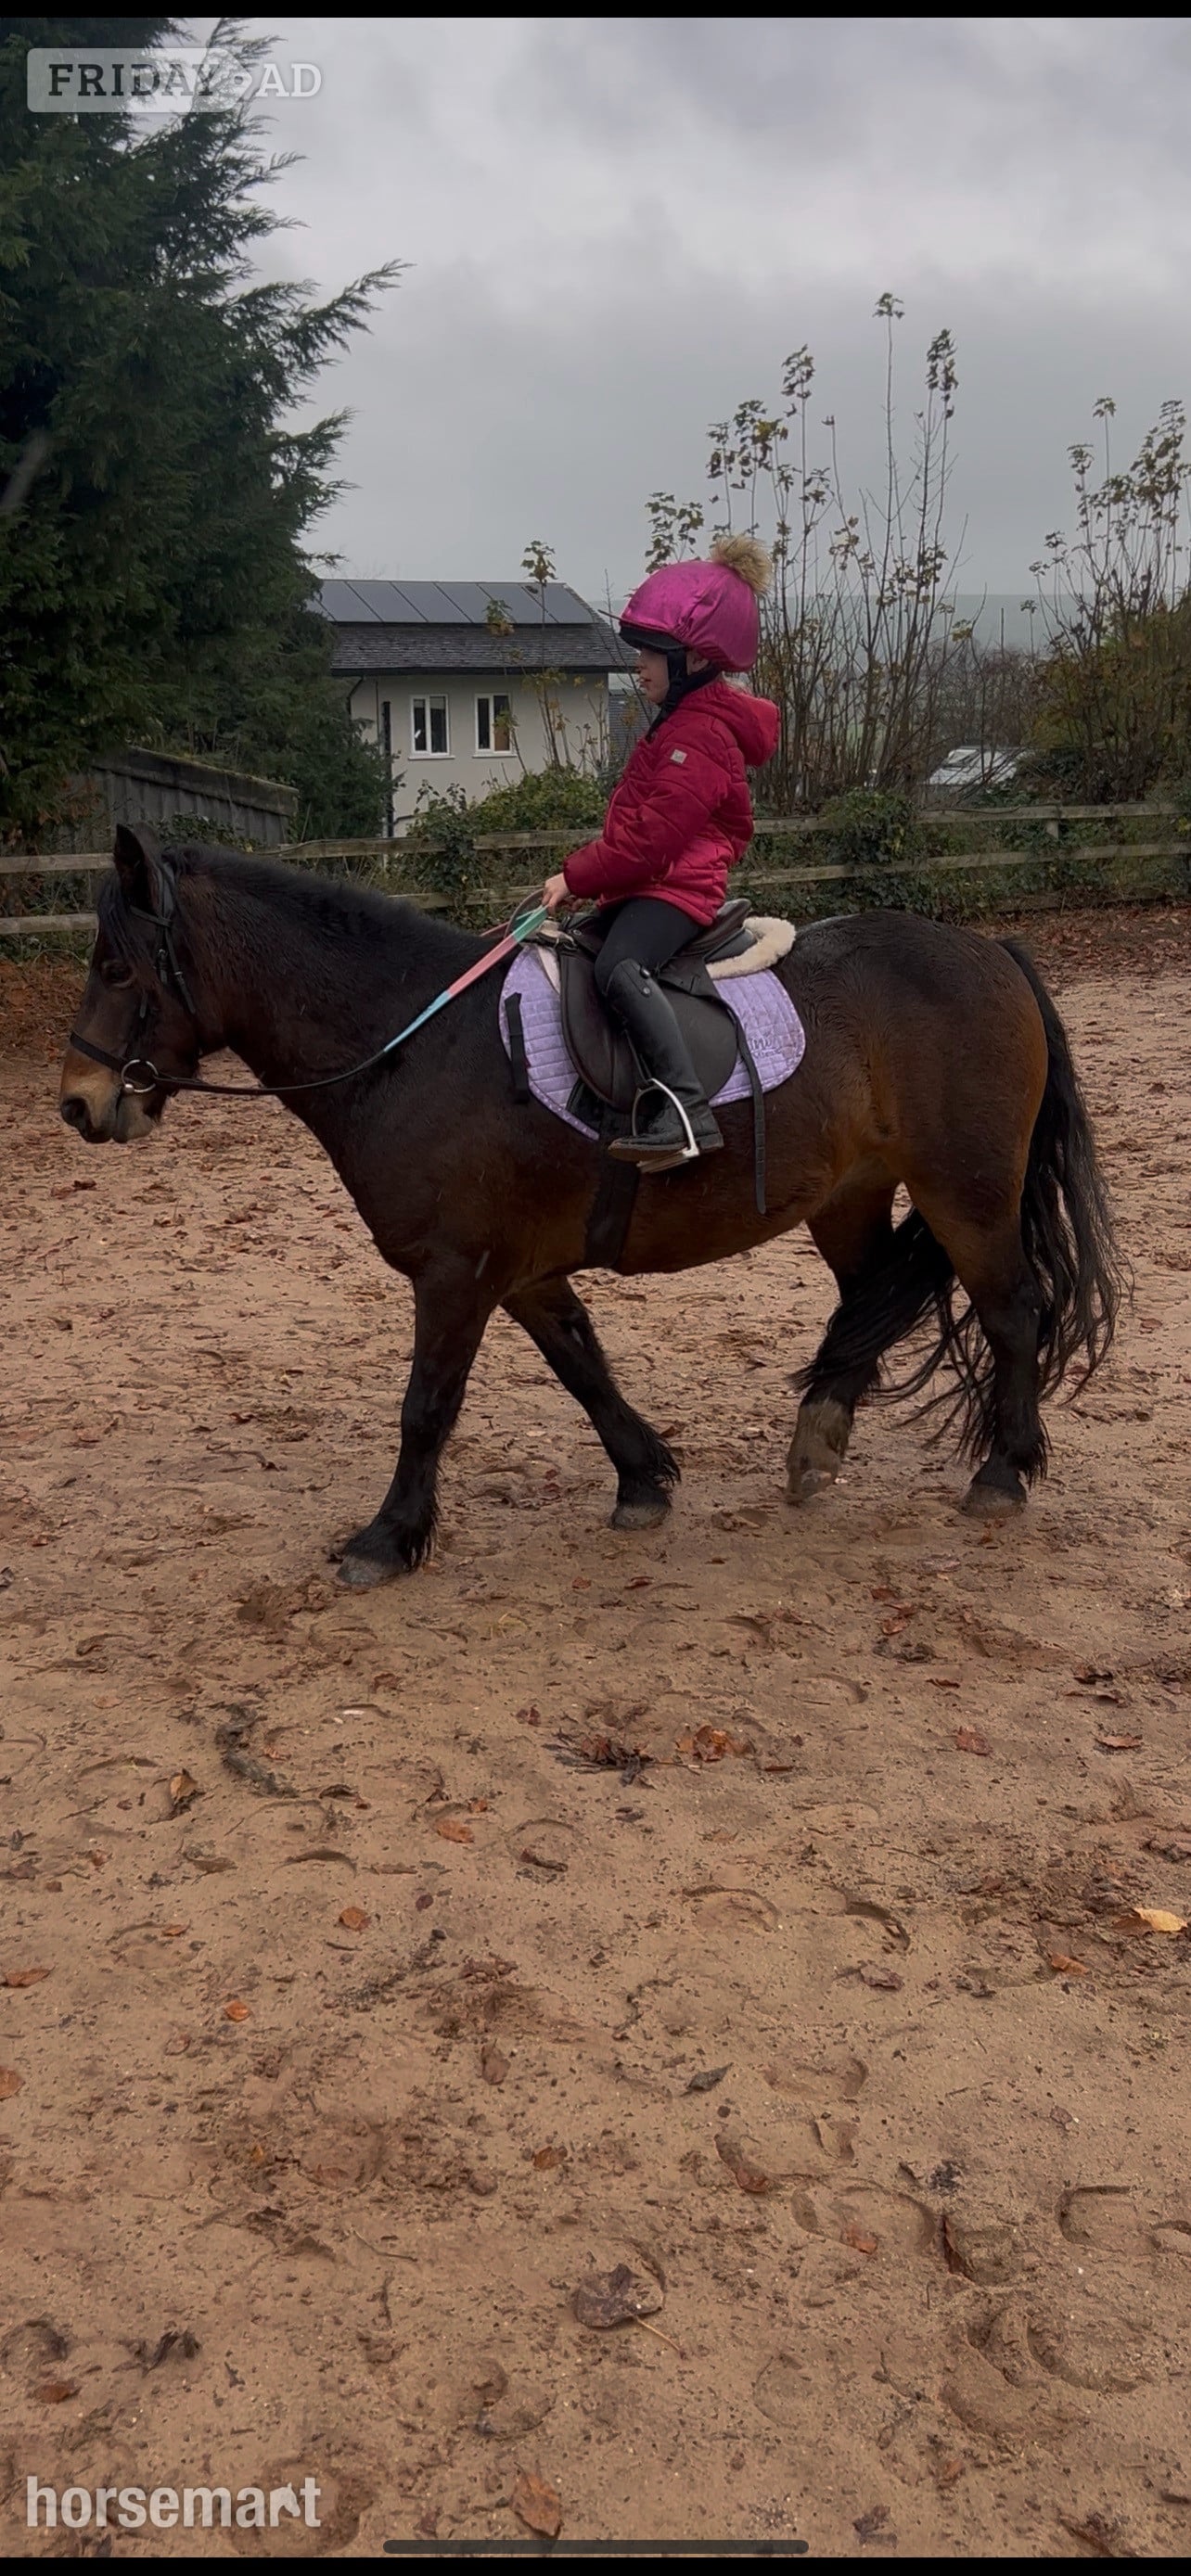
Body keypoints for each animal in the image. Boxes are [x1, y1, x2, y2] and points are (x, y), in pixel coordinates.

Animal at [58, 826, 1124, 1589]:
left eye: (116, 968)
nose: (78, 1104)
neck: (411, 1042)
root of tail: (994, 952)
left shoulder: (456, 1275)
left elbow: (426, 1407)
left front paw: (387, 1539)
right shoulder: (519, 1273)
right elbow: (583, 1368)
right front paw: (644, 1480)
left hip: (966, 1193)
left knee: (1012, 1311)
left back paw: (1001, 1474)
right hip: (852, 1195)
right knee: (870, 1304)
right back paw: (818, 1442)